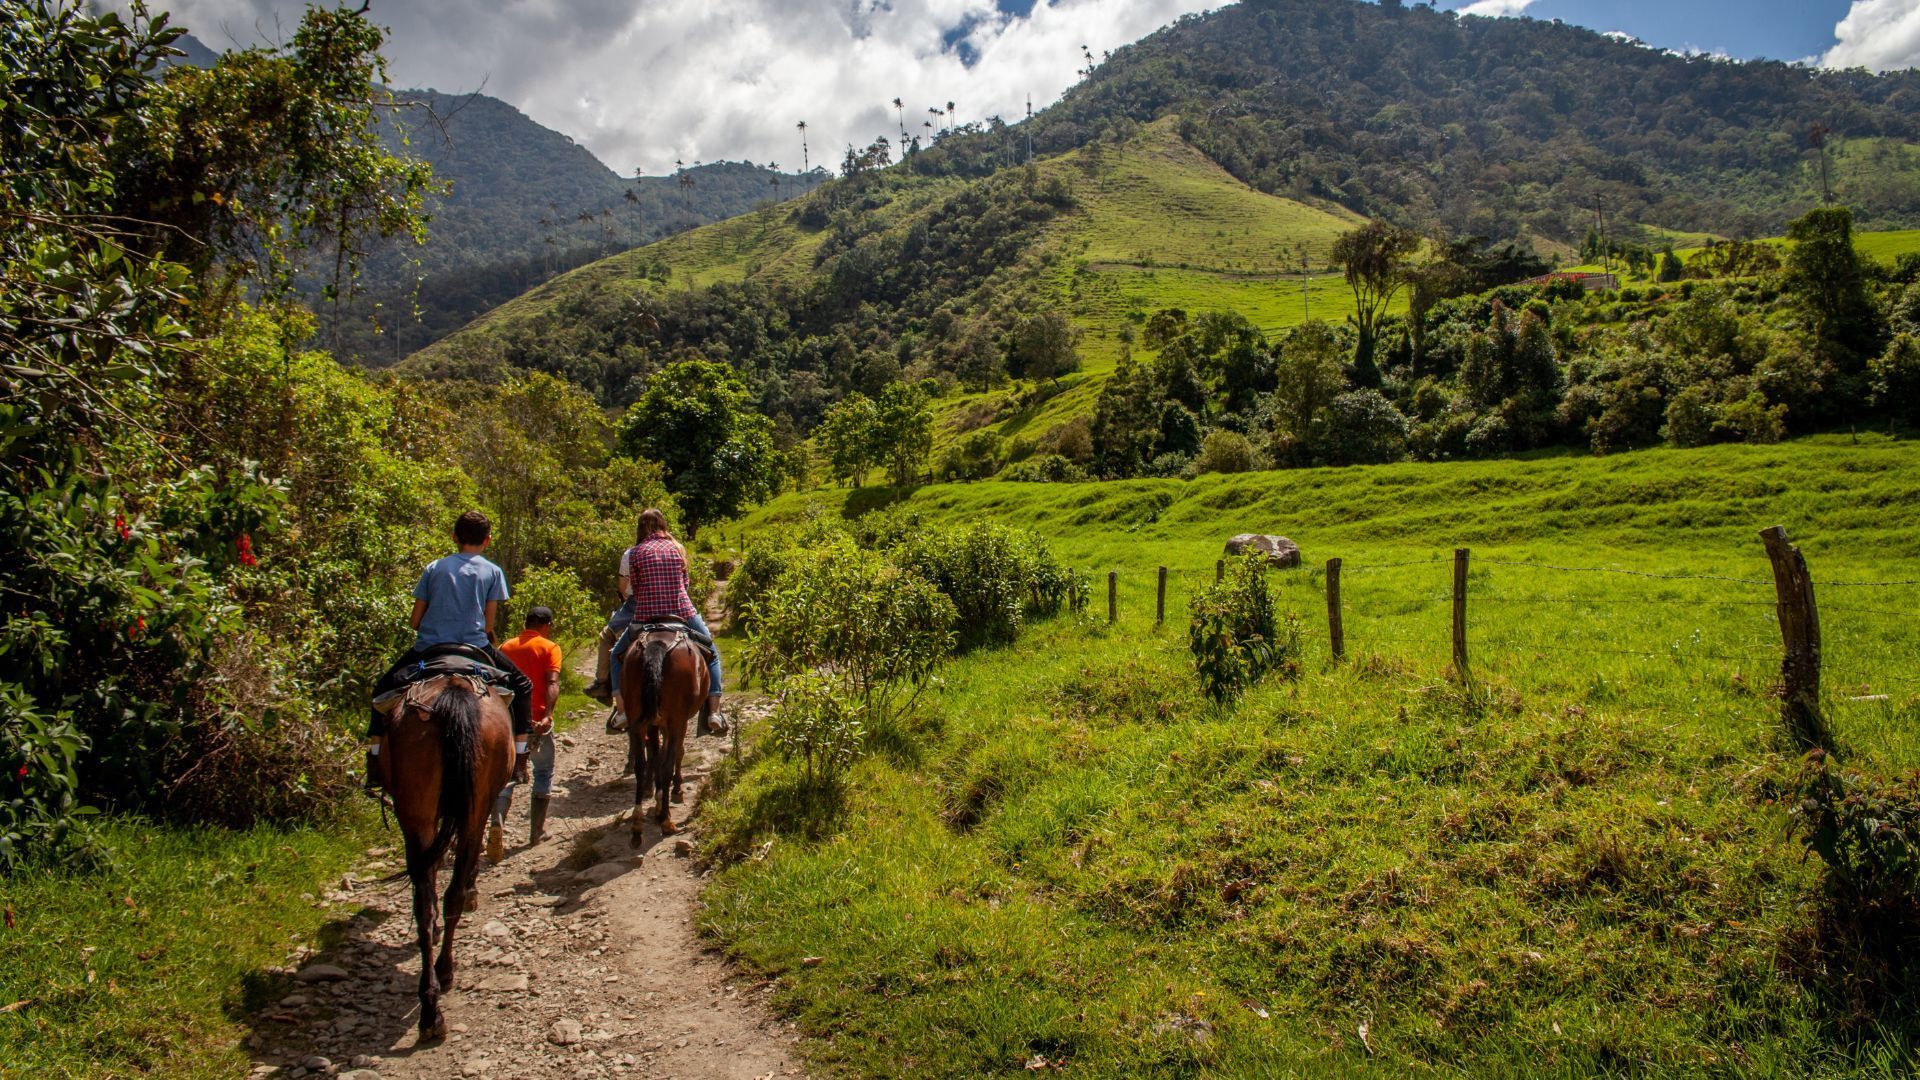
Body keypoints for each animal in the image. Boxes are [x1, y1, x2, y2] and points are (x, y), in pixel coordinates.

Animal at [378, 672, 514, 1037]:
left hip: (419, 812)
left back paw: (432, 1001)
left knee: (428, 901)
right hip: (460, 806)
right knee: (439, 894)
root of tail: (452, 694)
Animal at [618, 622, 710, 841]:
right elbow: (675, 754)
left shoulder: (655, 723)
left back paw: (637, 826)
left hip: (638, 718)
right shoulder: (677, 721)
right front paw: (675, 791)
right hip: (676, 719)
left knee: (641, 764)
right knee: (667, 763)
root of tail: (657, 643)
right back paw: (667, 821)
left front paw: (658, 800)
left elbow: (656, 756)